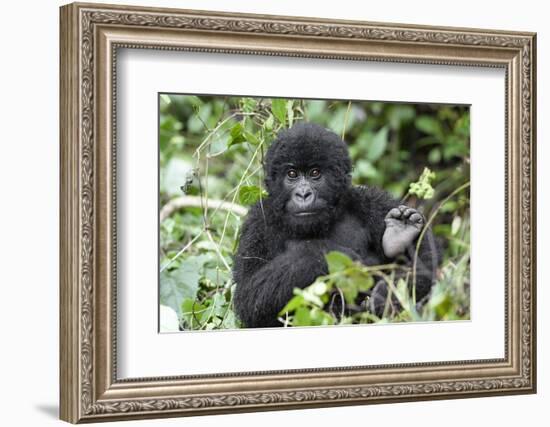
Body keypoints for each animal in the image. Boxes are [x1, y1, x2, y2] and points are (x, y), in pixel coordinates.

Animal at [233, 122, 440, 330]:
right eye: (292, 174)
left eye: (315, 173)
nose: (303, 194)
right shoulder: (258, 223)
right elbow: (249, 297)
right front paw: (329, 255)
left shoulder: (370, 201)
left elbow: (427, 265)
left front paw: (387, 293)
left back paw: (399, 236)